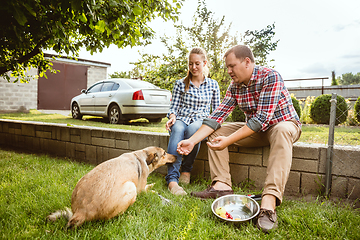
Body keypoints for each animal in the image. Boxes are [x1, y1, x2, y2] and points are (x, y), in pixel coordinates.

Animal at [47, 146, 176, 227]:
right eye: (165, 153)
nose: (176, 156)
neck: (143, 156)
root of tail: (81, 211)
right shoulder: (141, 189)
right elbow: (149, 188)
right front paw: (154, 188)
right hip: (131, 187)